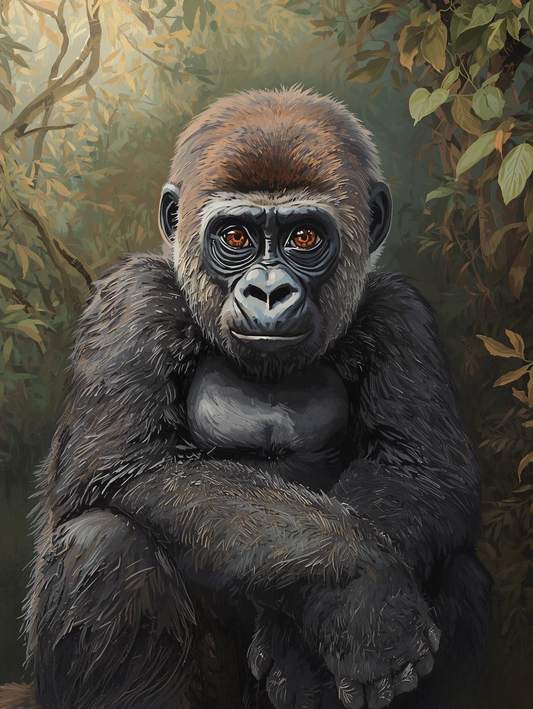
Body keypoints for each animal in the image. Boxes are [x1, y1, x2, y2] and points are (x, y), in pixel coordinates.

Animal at [3, 87, 490, 709]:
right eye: (235, 237)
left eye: (304, 237)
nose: (268, 291)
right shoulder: (131, 299)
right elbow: (128, 466)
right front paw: (360, 588)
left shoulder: (402, 313)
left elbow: (419, 472)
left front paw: (312, 635)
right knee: (105, 545)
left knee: (459, 571)